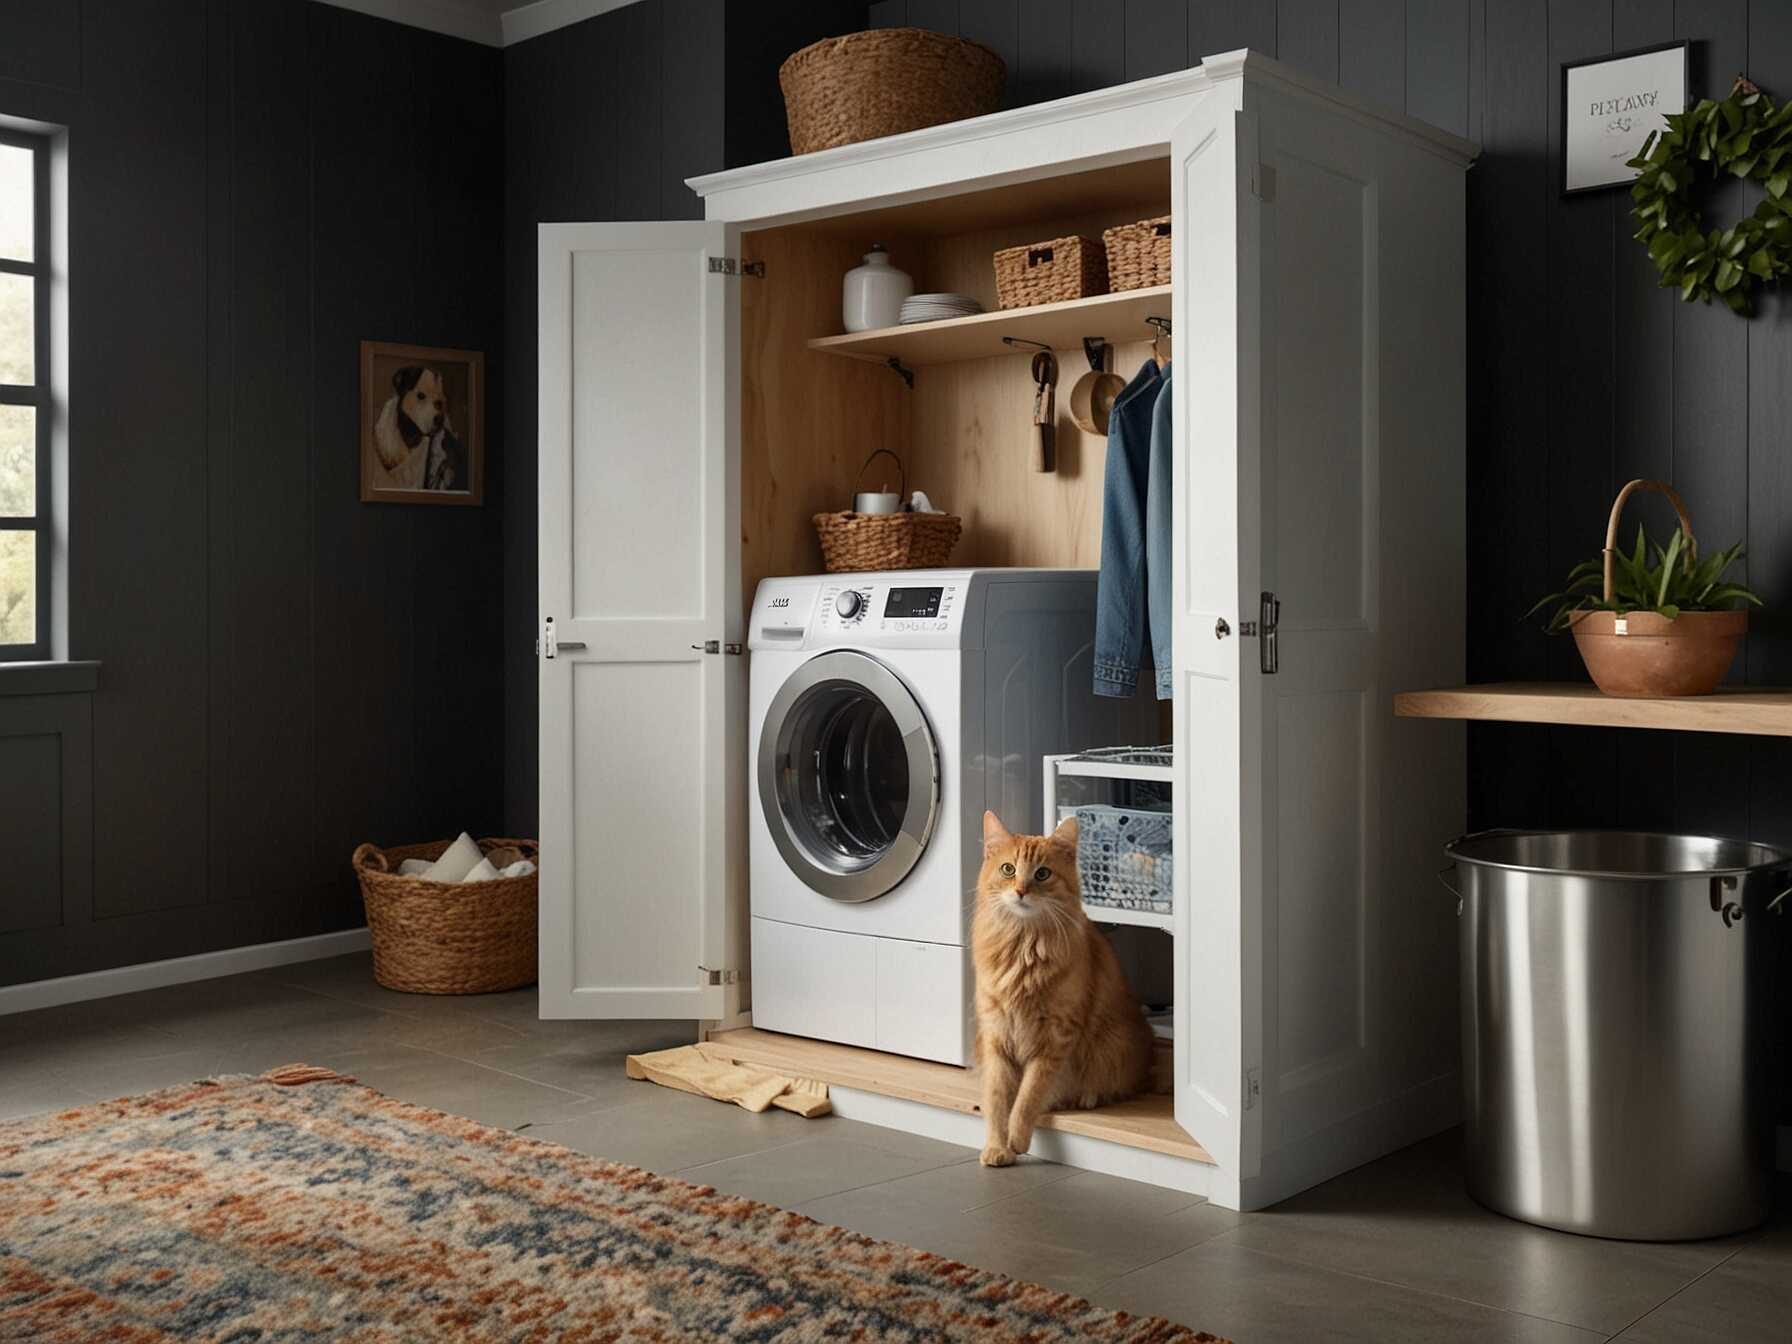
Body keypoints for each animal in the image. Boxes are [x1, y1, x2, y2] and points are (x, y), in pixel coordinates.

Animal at [974, 809, 1154, 1168]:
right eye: (1008, 869)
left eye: (1042, 874)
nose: (1021, 890)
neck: (1022, 947)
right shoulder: (996, 1034)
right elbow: (998, 1099)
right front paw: (997, 1146)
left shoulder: (1054, 1037)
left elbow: (1028, 1095)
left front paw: (1017, 1139)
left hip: (1112, 1043)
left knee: (1114, 1085)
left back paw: (1083, 1097)